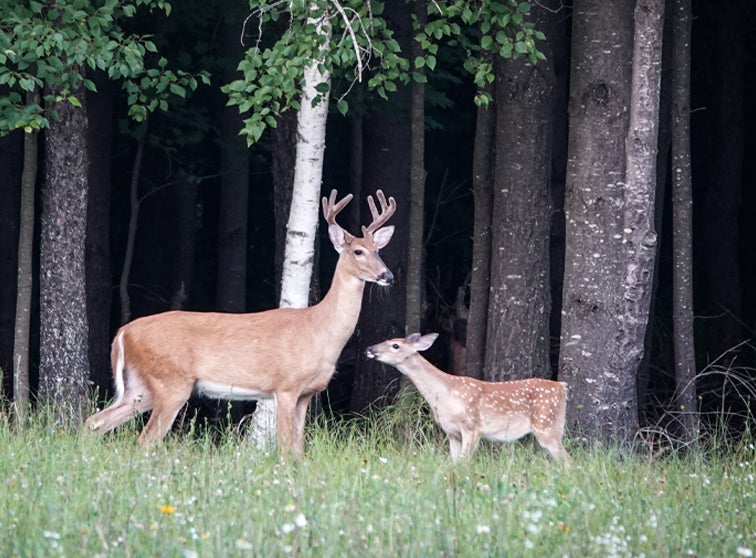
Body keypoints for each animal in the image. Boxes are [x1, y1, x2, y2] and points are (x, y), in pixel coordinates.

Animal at [85, 190, 396, 458]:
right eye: (358, 251)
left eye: (379, 250)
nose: (388, 275)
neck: (319, 330)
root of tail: (122, 333)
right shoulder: (285, 386)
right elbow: (285, 448)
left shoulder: (307, 393)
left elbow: (298, 449)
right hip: (170, 381)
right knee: (146, 438)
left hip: (141, 387)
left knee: (96, 421)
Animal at [364, 334, 568, 466]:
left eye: (395, 346)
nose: (369, 349)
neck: (445, 396)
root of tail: (562, 387)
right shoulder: (451, 432)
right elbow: (455, 463)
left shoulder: (472, 426)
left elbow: (464, 463)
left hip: (546, 424)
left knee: (568, 461)